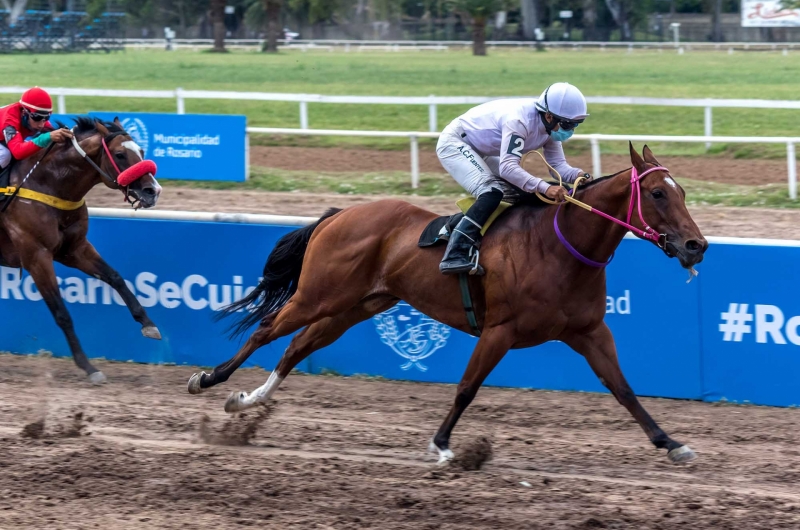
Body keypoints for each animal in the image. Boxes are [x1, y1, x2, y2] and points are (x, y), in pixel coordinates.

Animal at [0, 116, 162, 380]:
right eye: (119, 154)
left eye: (141, 151)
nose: (153, 191)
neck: (47, 184)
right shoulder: (36, 256)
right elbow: (61, 313)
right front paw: (88, 366)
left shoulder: (74, 249)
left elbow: (115, 277)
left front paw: (148, 324)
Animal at [188, 143, 708, 462]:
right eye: (658, 193)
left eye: (683, 191)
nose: (696, 246)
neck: (559, 248)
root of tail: (339, 214)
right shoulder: (500, 330)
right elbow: (466, 388)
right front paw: (441, 446)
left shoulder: (588, 332)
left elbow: (623, 389)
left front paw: (670, 442)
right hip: (319, 294)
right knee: (266, 329)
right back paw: (209, 379)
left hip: (355, 306)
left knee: (296, 348)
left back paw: (244, 402)